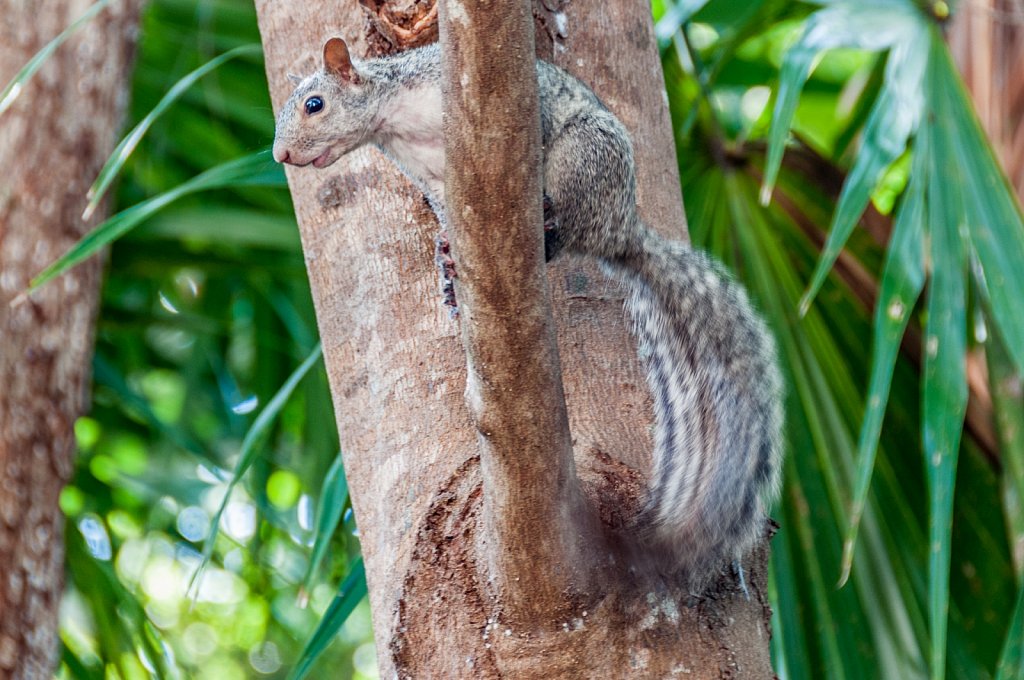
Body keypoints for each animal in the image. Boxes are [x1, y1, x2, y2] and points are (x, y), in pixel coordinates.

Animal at [273, 37, 784, 591]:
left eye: (315, 104)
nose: (280, 155)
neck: (397, 119)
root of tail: (620, 231)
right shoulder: (431, 180)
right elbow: (446, 215)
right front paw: (446, 254)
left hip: (581, 156)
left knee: (566, 220)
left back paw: (547, 223)